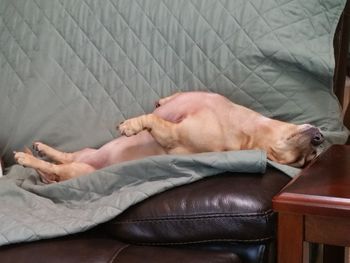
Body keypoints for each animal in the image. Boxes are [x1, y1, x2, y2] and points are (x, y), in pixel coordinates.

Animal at [14, 92, 326, 184]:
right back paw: (41, 148)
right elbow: (162, 105)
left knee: (57, 167)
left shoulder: (173, 136)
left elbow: (153, 121)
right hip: (84, 153)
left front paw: (132, 126)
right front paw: (161, 102)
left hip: (78, 170)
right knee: (63, 155)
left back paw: (29, 159)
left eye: (303, 161)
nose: (319, 139)